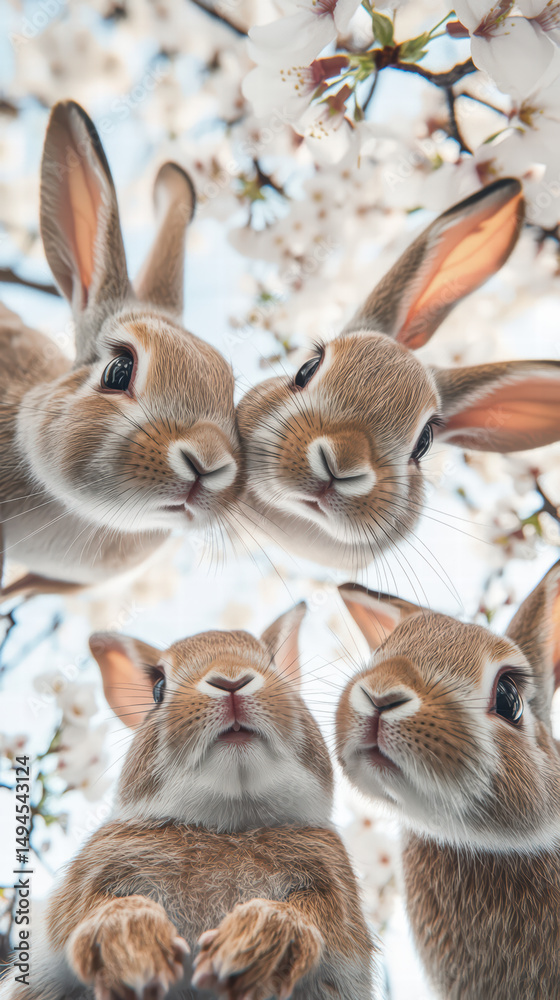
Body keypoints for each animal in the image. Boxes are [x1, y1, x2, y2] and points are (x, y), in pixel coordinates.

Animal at [1, 604, 375, 1000]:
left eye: (275, 667)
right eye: (158, 688)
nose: (230, 681)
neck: (228, 823)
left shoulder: (335, 896)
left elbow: (311, 915)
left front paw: (250, 944)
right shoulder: (90, 883)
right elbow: (100, 909)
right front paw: (132, 946)